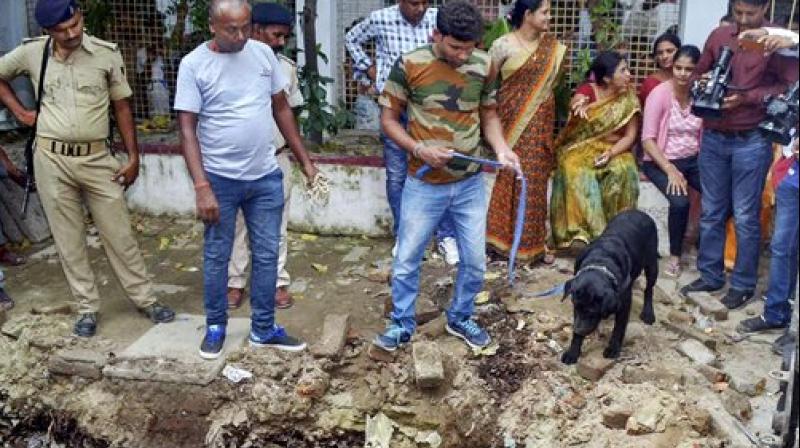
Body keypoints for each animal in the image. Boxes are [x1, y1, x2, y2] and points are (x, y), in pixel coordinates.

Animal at [560, 210, 660, 364]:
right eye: (576, 307)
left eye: (592, 312)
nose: (577, 329)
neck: (601, 262)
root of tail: (640, 212)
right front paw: (573, 352)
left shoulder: (624, 304)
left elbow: (619, 328)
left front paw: (613, 349)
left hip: (652, 265)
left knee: (649, 289)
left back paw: (648, 313)